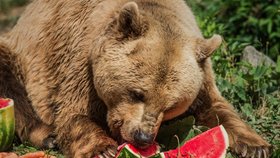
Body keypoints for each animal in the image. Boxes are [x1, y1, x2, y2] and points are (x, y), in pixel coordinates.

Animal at [0, 0, 272, 157]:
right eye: (137, 93)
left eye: (171, 106)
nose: (142, 137)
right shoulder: (79, 63)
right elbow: (74, 115)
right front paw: (102, 148)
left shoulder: (201, 71)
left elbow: (216, 107)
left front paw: (257, 146)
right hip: (18, 53)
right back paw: (48, 135)